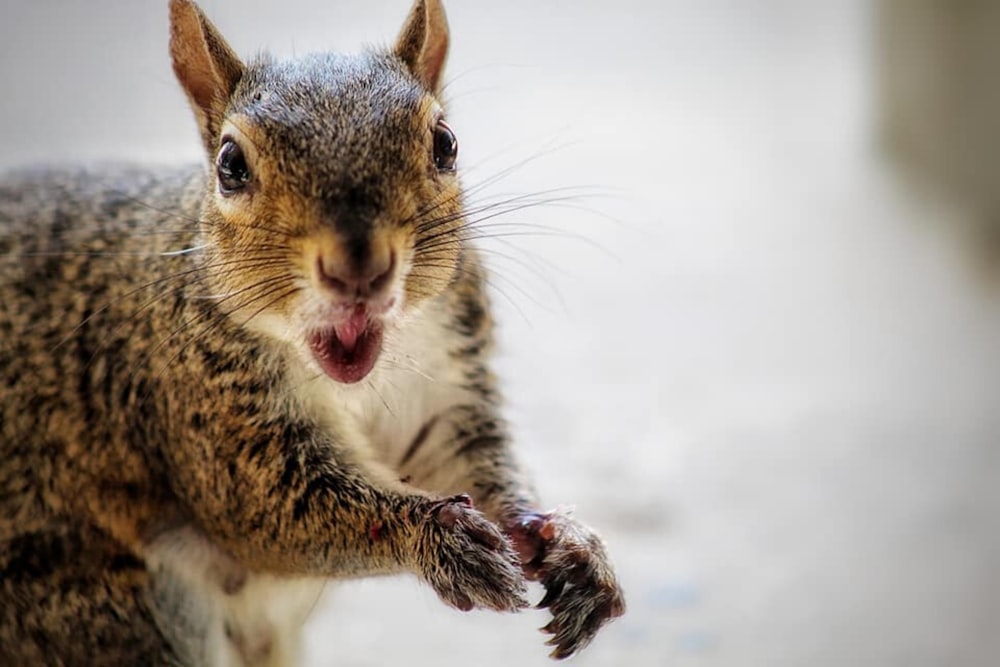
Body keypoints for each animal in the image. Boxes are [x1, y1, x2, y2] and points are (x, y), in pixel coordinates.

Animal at [0, 0, 624, 664]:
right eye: (230, 166)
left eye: (446, 144)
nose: (358, 266)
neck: (361, 380)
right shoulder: (203, 415)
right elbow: (272, 510)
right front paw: (437, 538)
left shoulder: (443, 383)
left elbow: (464, 459)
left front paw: (565, 539)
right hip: (119, 616)